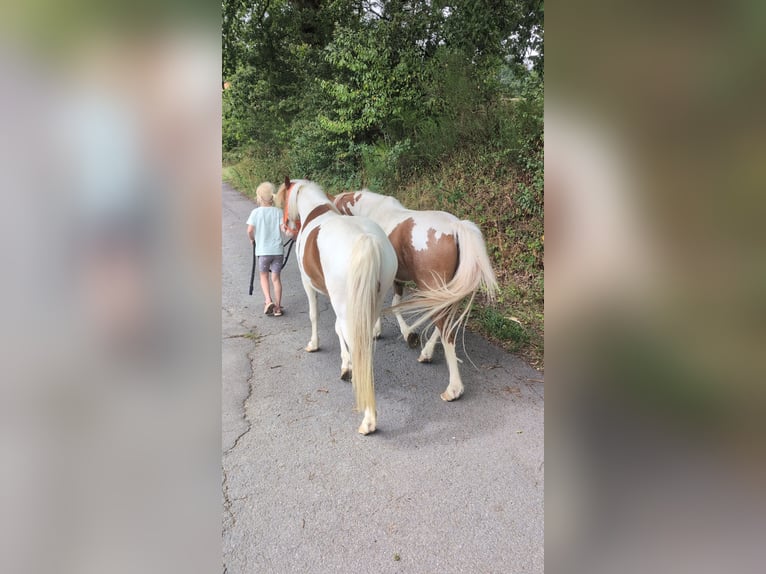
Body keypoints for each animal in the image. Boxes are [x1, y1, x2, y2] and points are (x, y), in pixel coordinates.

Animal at [276, 178, 397, 435]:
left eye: (283, 198)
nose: (286, 227)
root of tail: (367, 241)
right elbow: (338, 329)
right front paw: (346, 365)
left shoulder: (309, 285)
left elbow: (314, 316)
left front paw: (314, 345)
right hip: (370, 305)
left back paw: (368, 420)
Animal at [334, 189, 497, 402]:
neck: (373, 211)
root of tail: (456, 227)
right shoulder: (397, 279)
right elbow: (394, 303)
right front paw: (399, 332)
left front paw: (396, 332)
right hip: (444, 293)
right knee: (444, 323)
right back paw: (427, 352)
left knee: (446, 332)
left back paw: (453, 389)